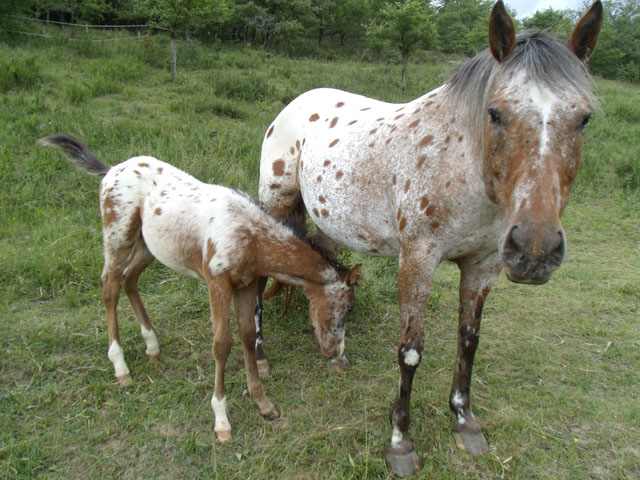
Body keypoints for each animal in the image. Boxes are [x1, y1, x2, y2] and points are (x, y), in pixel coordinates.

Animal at [40, 133, 360, 440]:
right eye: (349, 307)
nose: (336, 353)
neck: (250, 236)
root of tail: (111, 170)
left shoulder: (245, 285)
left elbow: (247, 335)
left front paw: (264, 404)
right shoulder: (217, 283)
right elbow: (222, 344)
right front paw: (221, 422)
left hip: (148, 245)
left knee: (130, 278)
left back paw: (152, 346)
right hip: (117, 236)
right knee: (110, 286)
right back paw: (120, 367)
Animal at [254, 0, 600, 476]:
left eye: (583, 118)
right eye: (495, 112)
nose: (536, 250)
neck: (463, 167)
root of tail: (296, 104)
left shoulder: (484, 265)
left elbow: (469, 340)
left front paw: (465, 421)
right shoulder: (417, 261)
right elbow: (410, 351)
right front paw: (400, 441)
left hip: (325, 223)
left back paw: (333, 349)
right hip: (273, 203)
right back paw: (261, 359)